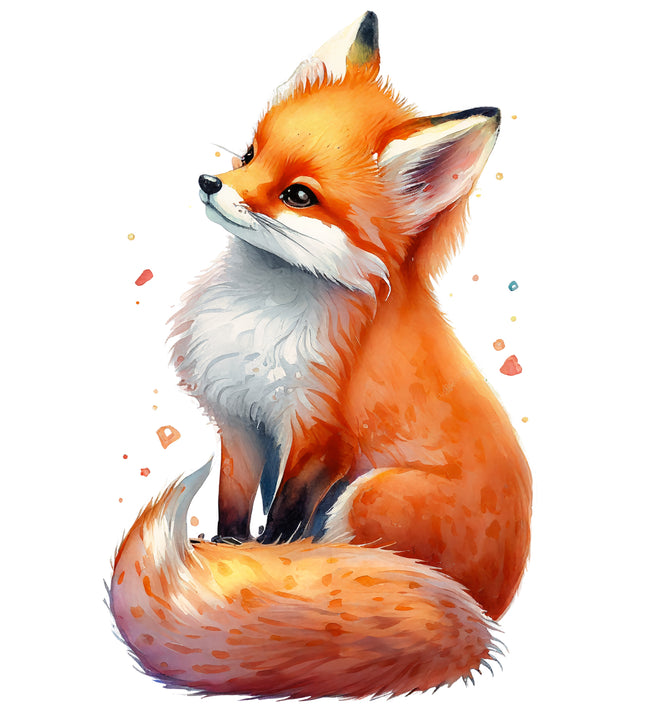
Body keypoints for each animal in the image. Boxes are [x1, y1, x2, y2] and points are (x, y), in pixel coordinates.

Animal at [110, 11, 531, 699]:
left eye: (299, 195)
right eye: (250, 155)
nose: (209, 181)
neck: (258, 314)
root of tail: (488, 613)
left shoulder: (319, 435)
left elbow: (281, 520)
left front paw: (245, 567)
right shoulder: (241, 421)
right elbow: (234, 506)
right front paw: (225, 554)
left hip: (371, 497)